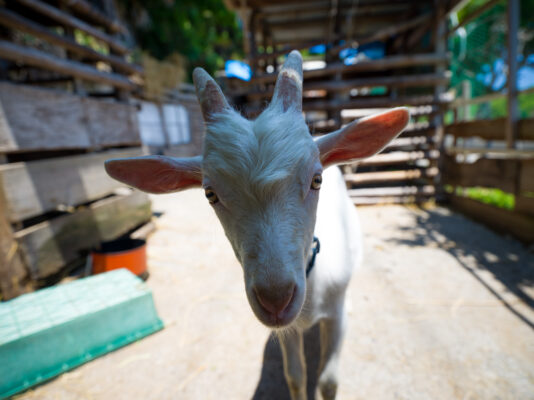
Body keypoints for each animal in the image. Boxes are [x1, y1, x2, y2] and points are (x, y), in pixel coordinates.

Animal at [107, 50, 412, 400]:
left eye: (316, 179)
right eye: (210, 193)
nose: (275, 299)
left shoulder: (336, 315)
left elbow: (328, 381)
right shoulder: (289, 328)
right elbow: (295, 375)